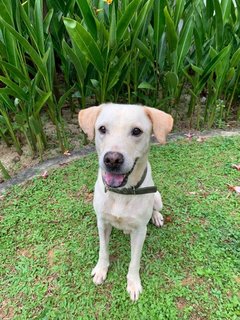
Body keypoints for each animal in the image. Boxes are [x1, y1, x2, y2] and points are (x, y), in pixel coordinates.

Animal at [78, 104, 172, 302]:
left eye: (136, 131)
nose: (112, 159)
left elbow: (134, 261)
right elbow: (103, 250)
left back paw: (157, 217)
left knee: (155, 208)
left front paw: (133, 283)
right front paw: (101, 270)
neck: (122, 192)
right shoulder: (102, 222)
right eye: (102, 129)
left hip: (157, 197)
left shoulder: (140, 231)